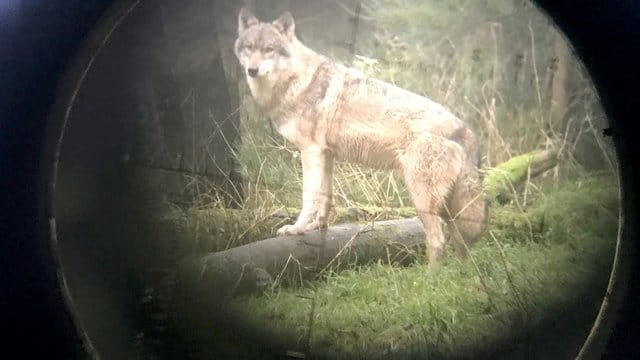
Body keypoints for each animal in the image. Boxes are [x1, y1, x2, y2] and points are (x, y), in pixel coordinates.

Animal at [235, 6, 490, 268]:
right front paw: (318, 226)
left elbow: (309, 198)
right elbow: (325, 197)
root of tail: (465, 130)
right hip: (449, 208)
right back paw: (460, 274)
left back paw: (431, 276)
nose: (252, 70)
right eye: (249, 48)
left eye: (269, 49)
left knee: (438, 240)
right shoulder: (326, 155)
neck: (296, 81)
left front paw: (297, 229)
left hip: (422, 200)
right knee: (461, 244)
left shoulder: (310, 153)